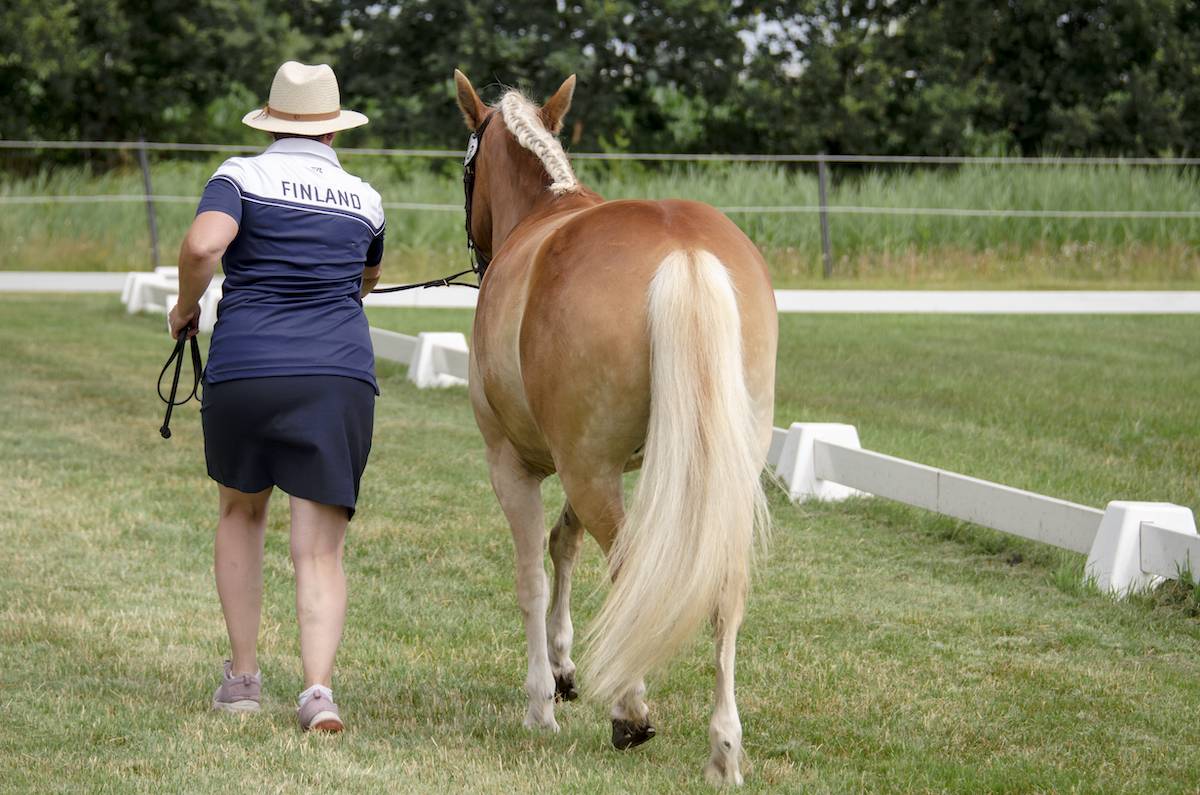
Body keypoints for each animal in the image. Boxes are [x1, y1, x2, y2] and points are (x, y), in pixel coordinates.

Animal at [454, 70, 778, 785]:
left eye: (467, 168)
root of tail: (683, 247)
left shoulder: (513, 463)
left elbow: (531, 572)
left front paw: (542, 701)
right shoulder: (597, 468)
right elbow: (564, 542)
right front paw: (564, 666)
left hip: (588, 469)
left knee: (630, 568)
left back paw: (630, 713)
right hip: (705, 472)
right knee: (722, 587)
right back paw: (724, 748)